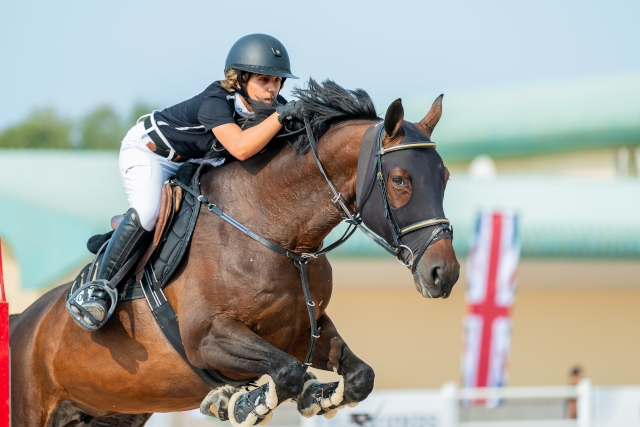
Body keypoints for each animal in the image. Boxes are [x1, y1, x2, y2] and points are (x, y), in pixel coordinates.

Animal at [10, 81, 460, 427]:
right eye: (400, 180)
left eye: (445, 176)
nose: (445, 274)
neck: (278, 235)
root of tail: (22, 321)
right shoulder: (207, 338)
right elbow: (286, 372)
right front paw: (241, 403)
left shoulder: (305, 330)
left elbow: (358, 376)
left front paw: (311, 395)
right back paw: (93, 302)